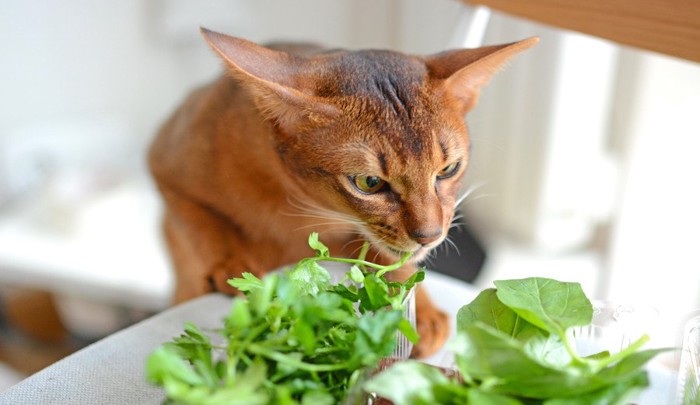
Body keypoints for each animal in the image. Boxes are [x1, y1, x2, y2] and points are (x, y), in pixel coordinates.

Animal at [150, 28, 540, 356]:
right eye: (369, 183)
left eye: (448, 170)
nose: (430, 236)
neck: (298, 205)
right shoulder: (163, 166)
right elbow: (202, 223)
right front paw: (232, 265)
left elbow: (395, 261)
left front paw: (420, 311)